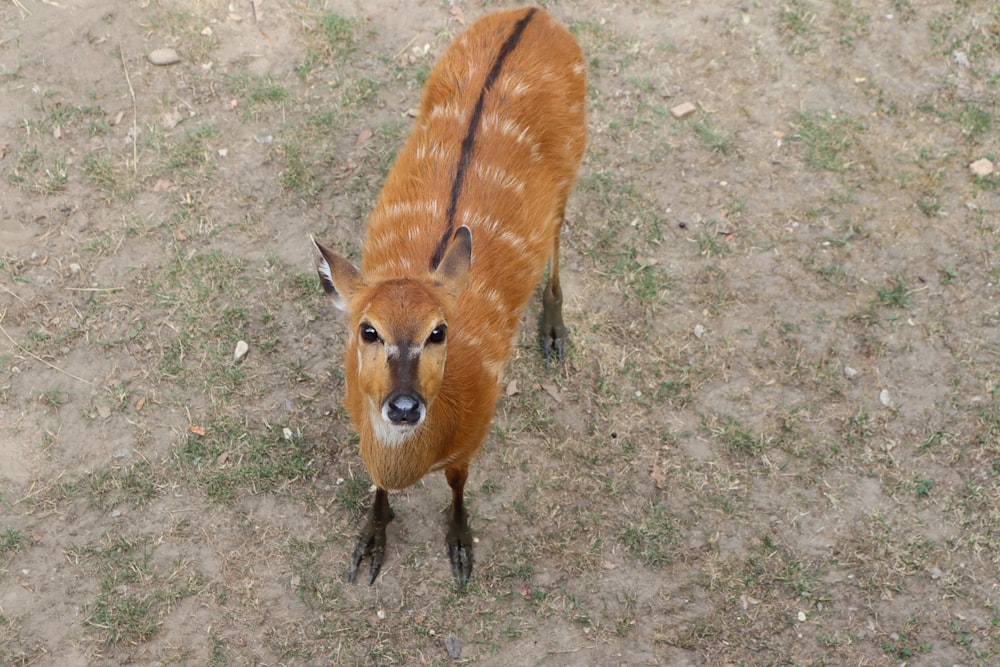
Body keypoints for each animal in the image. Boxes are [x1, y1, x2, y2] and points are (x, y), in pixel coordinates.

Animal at [314, 7, 584, 588]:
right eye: (367, 330)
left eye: (439, 331)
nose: (404, 406)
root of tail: (534, 13)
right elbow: (376, 483)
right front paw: (370, 541)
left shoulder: (474, 436)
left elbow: (459, 484)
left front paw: (460, 546)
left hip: (574, 162)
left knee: (557, 232)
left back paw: (553, 331)